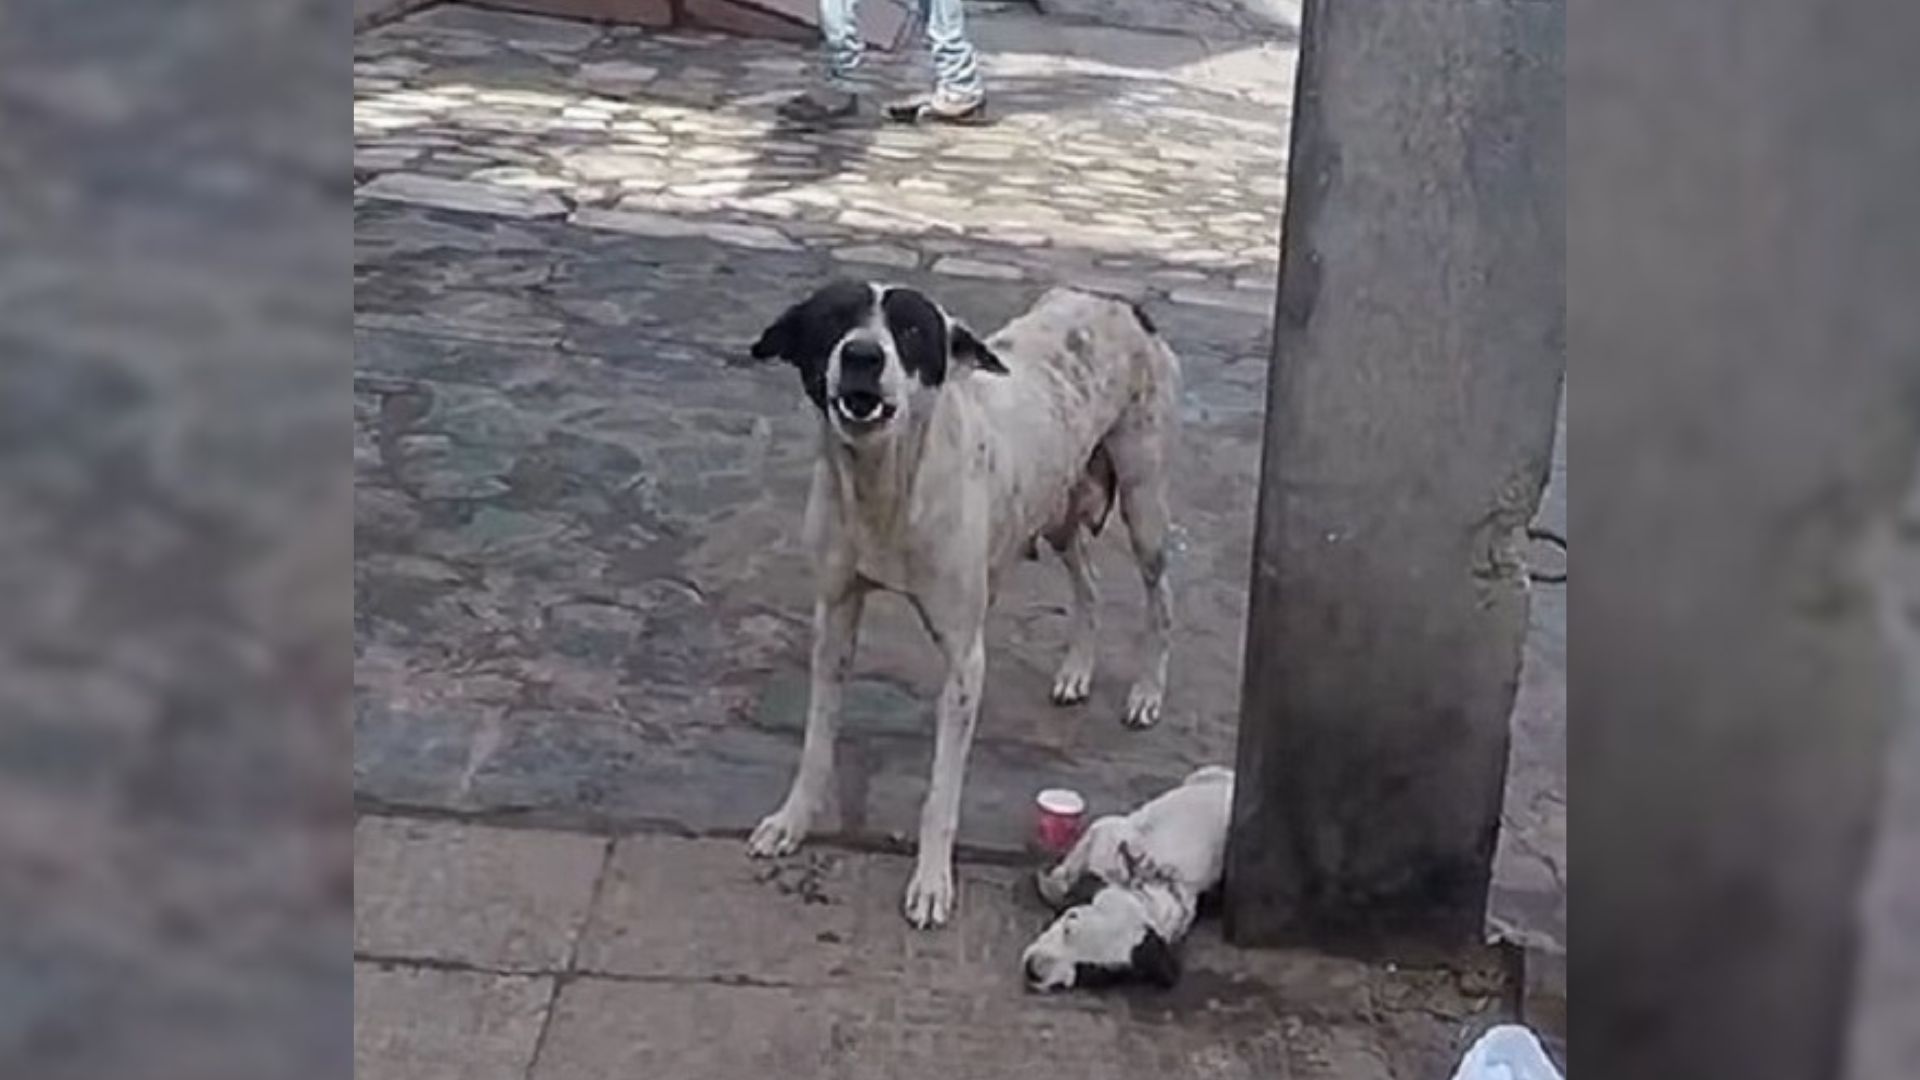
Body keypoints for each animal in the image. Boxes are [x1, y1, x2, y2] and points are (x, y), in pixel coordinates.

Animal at [1021, 760, 1228, 991]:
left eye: (1090, 971)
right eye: (1067, 929)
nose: (1034, 970)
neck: (1142, 887)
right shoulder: (1105, 831)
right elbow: (1073, 863)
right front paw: (1057, 882)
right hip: (1206, 774)